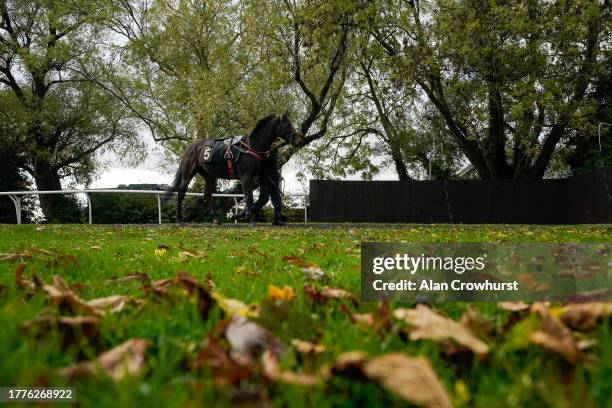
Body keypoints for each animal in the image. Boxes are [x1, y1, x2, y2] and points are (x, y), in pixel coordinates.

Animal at [166, 111, 302, 223]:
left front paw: (242, 215)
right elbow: (249, 197)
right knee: (181, 192)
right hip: (188, 173)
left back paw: (215, 219)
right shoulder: (246, 176)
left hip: (209, 176)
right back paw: (179, 218)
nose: (299, 140)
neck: (251, 146)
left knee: (207, 196)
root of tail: (191, 146)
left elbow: (255, 197)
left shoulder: (256, 176)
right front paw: (247, 217)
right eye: (288, 124)